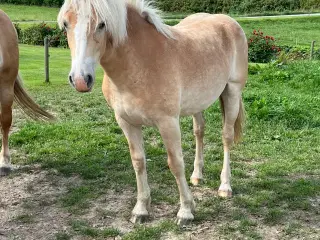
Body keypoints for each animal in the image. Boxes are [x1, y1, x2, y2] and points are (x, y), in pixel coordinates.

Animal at [57, 0, 248, 225]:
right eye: (66, 24)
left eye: (102, 24)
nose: (80, 80)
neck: (140, 63)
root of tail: (229, 21)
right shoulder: (126, 122)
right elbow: (138, 162)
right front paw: (141, 209)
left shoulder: (168, 122)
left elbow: (175, 163)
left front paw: (185, 210)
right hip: (198, 104)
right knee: (199, 131)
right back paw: (197, 175)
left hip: (232, 92)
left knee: (226, 137)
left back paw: (225, 186)